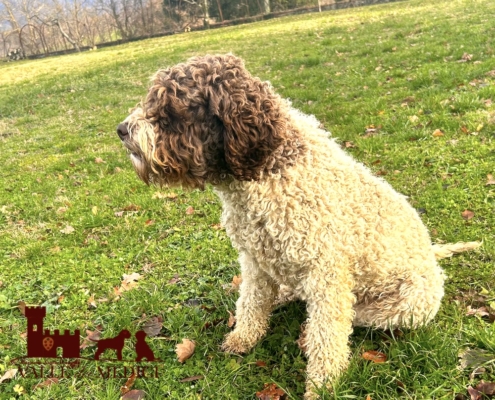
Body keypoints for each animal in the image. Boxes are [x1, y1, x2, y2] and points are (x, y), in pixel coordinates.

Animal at [116, 54, 480, 398]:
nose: (122, 129)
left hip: (406, 304)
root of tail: (432, 255)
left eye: (171, 109)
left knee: (352, 318)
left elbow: (327, 335)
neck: (267, 169)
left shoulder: (327, 274)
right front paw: (243, 338)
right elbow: (251, 302)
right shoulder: (254, 260)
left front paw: (322, 385)